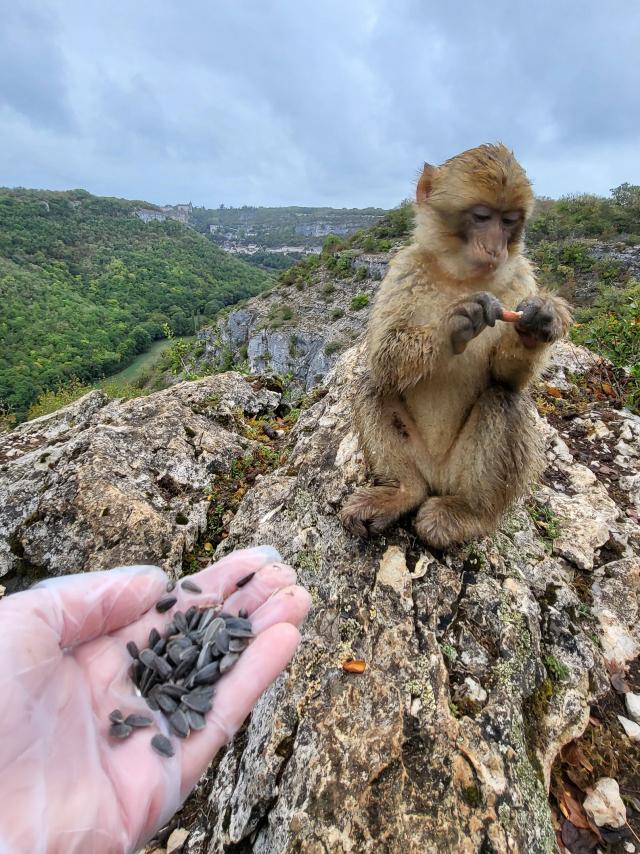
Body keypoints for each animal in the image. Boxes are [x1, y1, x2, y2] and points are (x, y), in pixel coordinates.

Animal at [340, 145, 568, 548]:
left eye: (508, 221)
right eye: (482, 217)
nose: (495, 247)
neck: (462, 276)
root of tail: (436, 477)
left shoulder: (522, 276)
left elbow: (507, 378)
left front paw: (540, 323)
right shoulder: (405, 267)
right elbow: (383, 355)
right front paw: (455, 323)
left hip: (460, 472)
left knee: (503, 397)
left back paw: (470, 514)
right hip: (421, 460)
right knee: (373, 384)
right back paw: (402, 492)